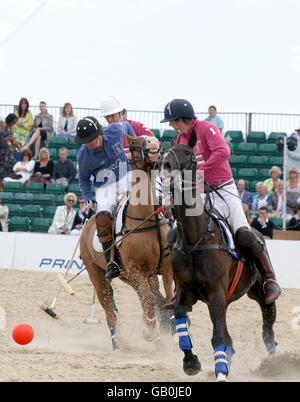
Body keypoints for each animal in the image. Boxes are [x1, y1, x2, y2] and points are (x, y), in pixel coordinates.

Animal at [78, 135, 175, 348]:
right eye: (136, 143)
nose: (154, 144)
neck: (147, 217)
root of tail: (86, 226)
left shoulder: (165, 266)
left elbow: (168, 298)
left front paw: (173, 332)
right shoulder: (135, 269)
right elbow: (149, 299)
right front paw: (150, 334)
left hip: (133, 276)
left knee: (150, 296)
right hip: (98, 274)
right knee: (109, 309)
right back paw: (118, 343)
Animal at [158, 143, 278, 382]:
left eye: (188, 153)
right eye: (165, 150)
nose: (165, 167)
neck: (196, 239)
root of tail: (255, 229)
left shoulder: (217, 293)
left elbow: (218, 336)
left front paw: (221, 371)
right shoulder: (187, 292)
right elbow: (180, 316)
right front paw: (191, 362)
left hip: (259, 293)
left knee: (267, 327)